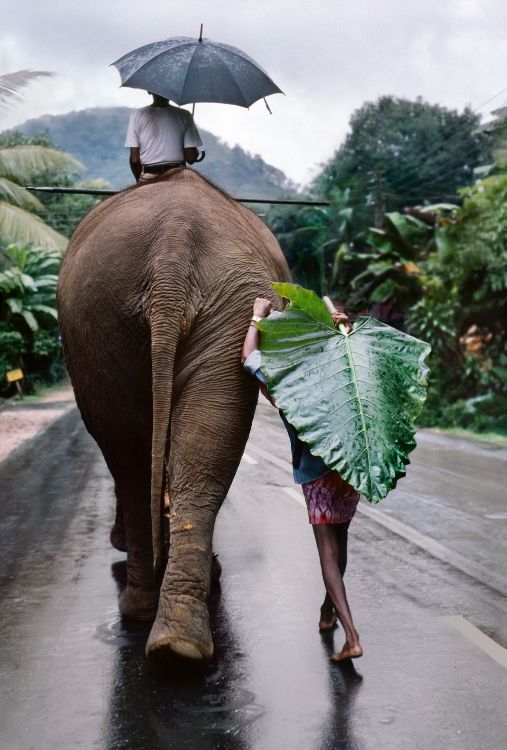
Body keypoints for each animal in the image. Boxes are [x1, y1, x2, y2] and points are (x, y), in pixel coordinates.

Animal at [57, 169, 290, 664]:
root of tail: (173, 244)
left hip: (126, 308)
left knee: (131, 456)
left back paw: (159, 624)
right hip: (115, 311)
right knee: (155, 456)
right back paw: (175, 638)